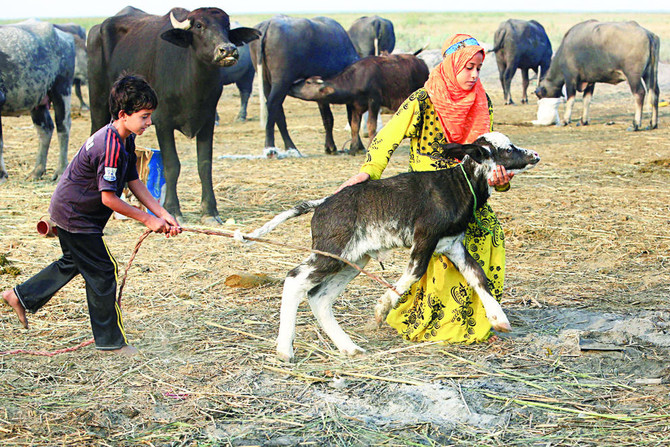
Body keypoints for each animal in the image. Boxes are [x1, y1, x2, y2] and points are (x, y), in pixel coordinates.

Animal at [0, 18, 75, 184]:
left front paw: (1, 174)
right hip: (38, 102)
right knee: (45, 129)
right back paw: (37, 171)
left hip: (62, 89)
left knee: (63, 126)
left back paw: (61, 170)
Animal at [86, 7, 260, 224]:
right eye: (199, 25)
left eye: (226, 25)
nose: (227, 50)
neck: (193, 86)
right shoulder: (163, 123)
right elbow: (172, 165)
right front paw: (173, 209)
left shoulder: (208, 122)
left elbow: (205, 165)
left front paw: (210, 211)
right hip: (98, 102)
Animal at [239, 131, 544, 362]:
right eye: (507, 149)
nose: (535, 155)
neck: (457, 185)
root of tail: (322, 203)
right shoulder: (425, 236)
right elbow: (414, 273)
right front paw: (381, 310)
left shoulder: (453, 244)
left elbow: (478, 276)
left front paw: (499, 318)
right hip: (330, 252)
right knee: (294, 280)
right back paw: (285, 350)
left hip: (354, 259)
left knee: (319, 297)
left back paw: (349, 347)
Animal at [251, 14, 360, 154]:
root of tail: (269, 24)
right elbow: (352, 119)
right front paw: (358, 146)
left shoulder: (321, 96)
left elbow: (328, 119)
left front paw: (330, 147)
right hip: (281, 82)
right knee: (271, 106)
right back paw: (270, 148)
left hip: (266, 82)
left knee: (278, 111)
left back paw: (291, 147)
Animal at [290, 54, 430, 155]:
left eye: (308, 82)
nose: (293, 84)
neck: (356, 79)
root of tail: (422, 63)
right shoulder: (354, 106)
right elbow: (354, 126)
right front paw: (353, 149)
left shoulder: (374, 102)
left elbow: (371, 125)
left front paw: (369, 146)